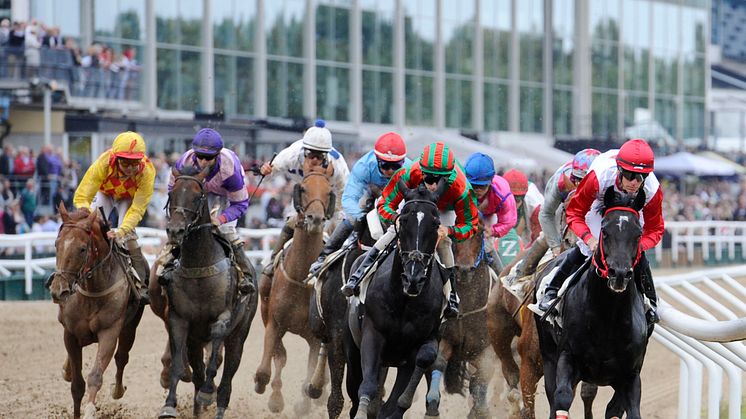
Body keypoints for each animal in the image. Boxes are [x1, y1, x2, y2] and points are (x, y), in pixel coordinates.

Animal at [48, 203, 145, 416]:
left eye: (82, 249)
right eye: (56, 244)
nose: (58, 290)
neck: (92, 292)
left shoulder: (109, 332)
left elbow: (95, 376)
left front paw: (90, 411)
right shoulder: (70, 334)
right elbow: (77, 385)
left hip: (130, 327)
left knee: (122, 357)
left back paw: (117, 390)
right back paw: (66, 370)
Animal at [156, 167, 256, 419]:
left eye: (196, 196)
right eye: (172, 194)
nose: (175, 230)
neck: (199, 267)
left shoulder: (223, 318)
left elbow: (214, 363)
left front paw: (207, 393)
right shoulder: (179, 320)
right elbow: (179, 365)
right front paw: (169, 405)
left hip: (239, 335)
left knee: (227, 380)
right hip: (196, 341)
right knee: (198, 374)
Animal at [532, 188, 648, 419]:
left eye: (638, 234)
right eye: (605, 231)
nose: (619, 274)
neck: (608, 319)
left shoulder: (631, 374)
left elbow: (625, 410)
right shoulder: (567, 357)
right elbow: (562, 398)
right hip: (547, 353)